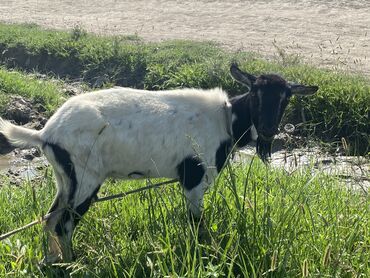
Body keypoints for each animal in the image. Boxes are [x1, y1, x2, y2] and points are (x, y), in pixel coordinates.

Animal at [0, 64, 318, 262]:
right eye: (255, 93)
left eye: (286, 98)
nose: (267, 130)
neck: (225, 120)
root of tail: (45, 133)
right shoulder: (193, 176)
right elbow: (196, 224)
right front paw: (203, 254)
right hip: (85, 177)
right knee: (64, 223)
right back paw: (74, 263)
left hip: (66, 179)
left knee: (50, 218)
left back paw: (55, 261)